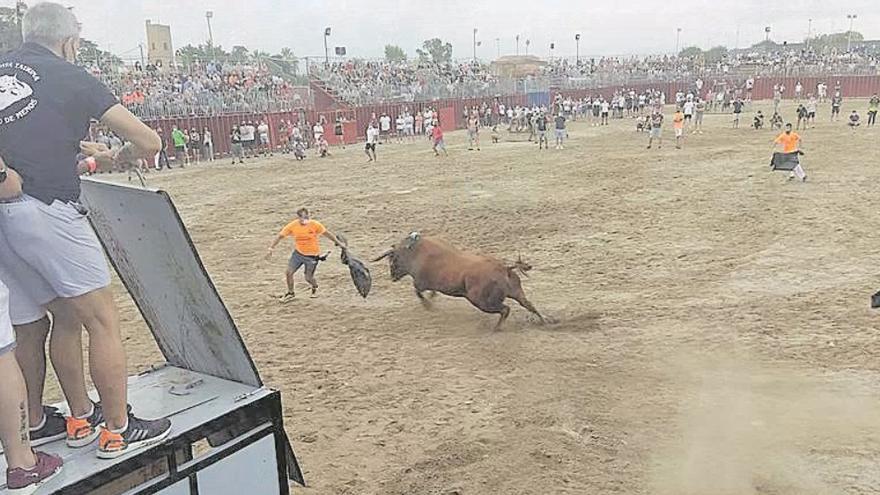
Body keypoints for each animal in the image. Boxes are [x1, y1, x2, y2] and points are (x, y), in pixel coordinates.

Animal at [372, 232, 552, 330]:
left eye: (393, 258)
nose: (392, 276)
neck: (415, 253)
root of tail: (504, 267)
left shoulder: (420, 282)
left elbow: (418, 291)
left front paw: (428, 305)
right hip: (516, 292)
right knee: (529, 305)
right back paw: (545, 322)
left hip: (480, 301)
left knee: (505, 309)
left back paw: (496, 328)